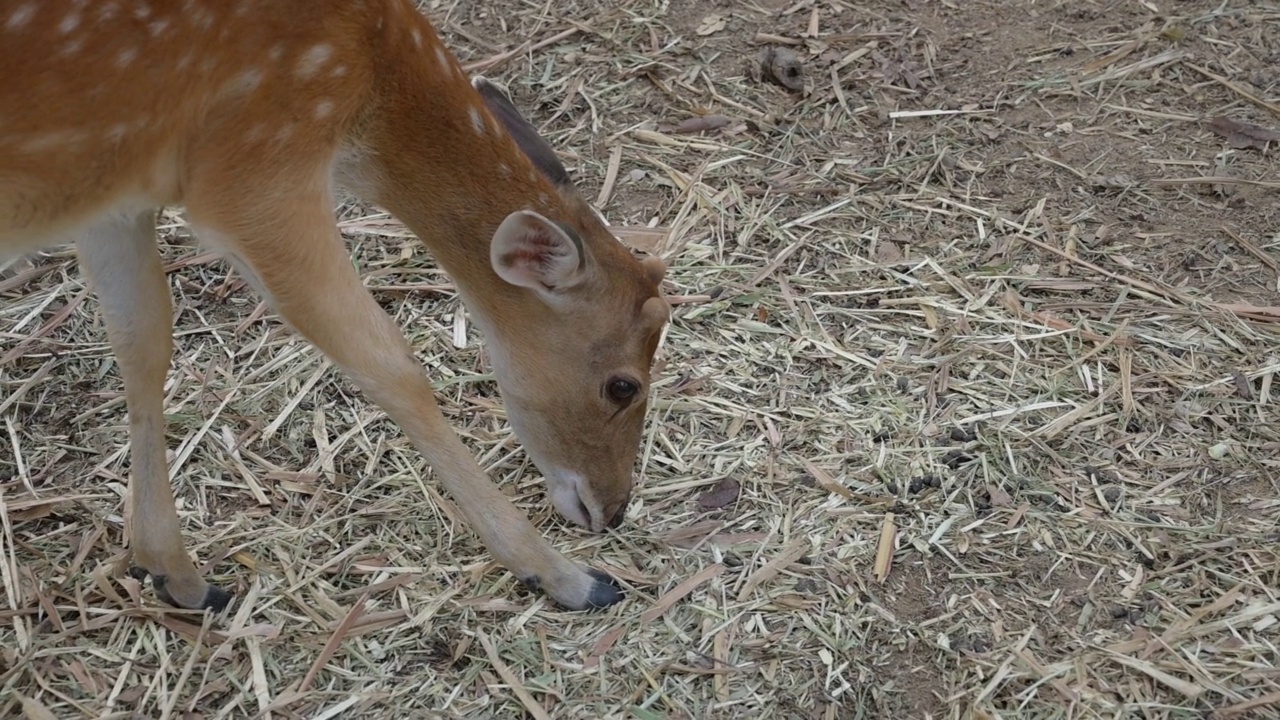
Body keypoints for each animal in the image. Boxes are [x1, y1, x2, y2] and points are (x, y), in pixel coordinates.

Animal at [0, 0, 675, 609]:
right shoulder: (252, 174)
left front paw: (176, 575)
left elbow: (142, 338)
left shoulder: (116, 191)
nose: (614, 510)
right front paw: (568, 578)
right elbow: (391, 364)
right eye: (623, 385)